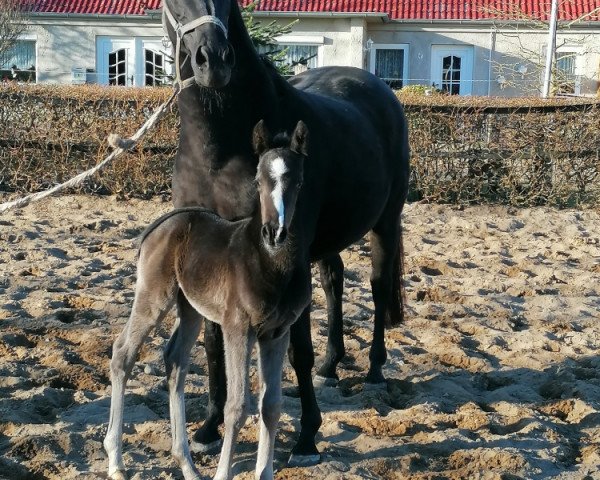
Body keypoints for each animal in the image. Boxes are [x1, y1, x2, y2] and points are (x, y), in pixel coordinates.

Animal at [106, 120, 314, 480]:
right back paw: (116, 462)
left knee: (175, 360)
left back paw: (187, 465)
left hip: (190, 307)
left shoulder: (276, 332)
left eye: (298, 182)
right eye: (258, 181)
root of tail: (159, 225)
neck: (271, 264)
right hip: (154, 296)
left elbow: (271, 405)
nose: (274, 232)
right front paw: (222, 473)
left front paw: (265, 472)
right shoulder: (238, 327)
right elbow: (237, 406)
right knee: (123, 354)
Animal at [162, 0, 410, 464]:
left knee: (379, 287)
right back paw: (333, 366)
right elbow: (213, 344)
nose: (214, 61)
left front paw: (307, 437)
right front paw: (208, 428)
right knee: (334, 280)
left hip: (385, 224)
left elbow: (297, 350)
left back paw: (373, 371)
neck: (220, 151)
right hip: (327, 241)